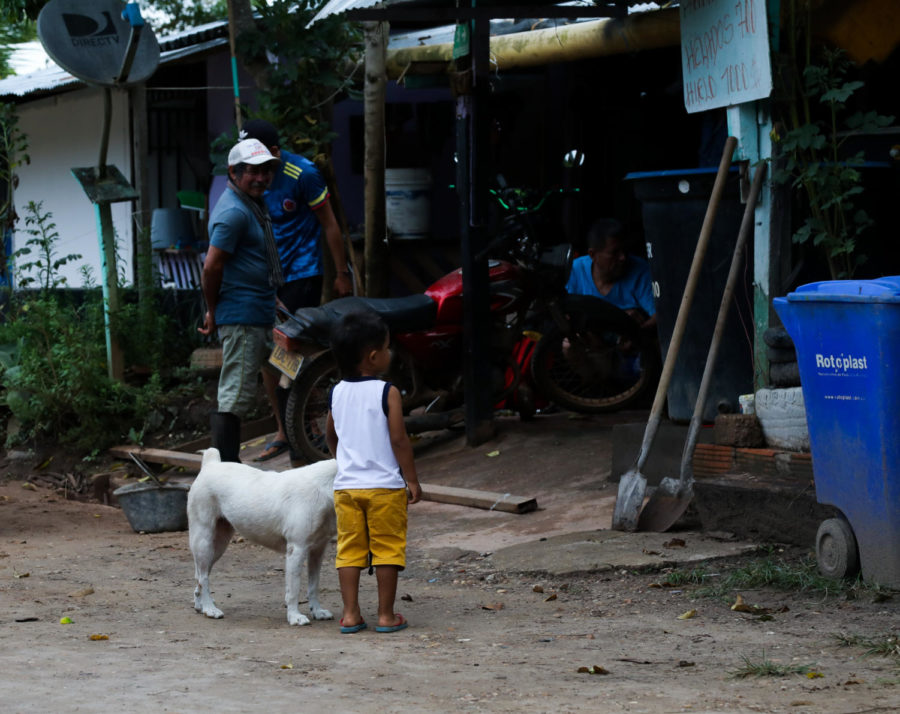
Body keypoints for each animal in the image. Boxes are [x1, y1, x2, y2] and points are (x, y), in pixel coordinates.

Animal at [186, 448, 338, 624]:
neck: (326, 485)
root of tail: (211, 464)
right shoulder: (297, 550)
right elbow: (293, 590)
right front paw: (294, 616)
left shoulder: (317, 551)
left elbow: (314, 586)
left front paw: (317, 611)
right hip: (203, 542)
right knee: (203, 577)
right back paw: (210, 609)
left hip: (217, 546)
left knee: (199, 575)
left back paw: (200, 605)